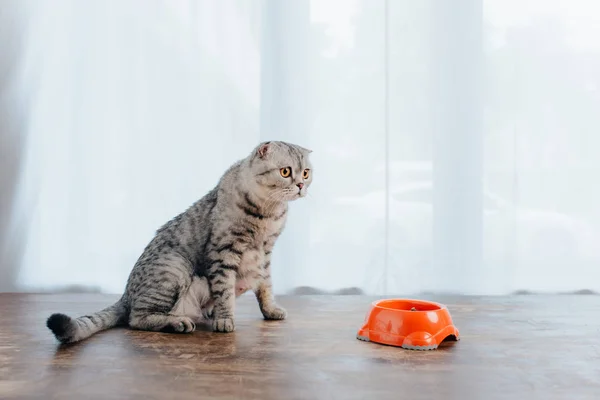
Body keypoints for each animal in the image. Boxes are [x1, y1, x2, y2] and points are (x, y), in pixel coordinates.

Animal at [45, 141, 314, 344]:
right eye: (286, 172)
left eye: (306, 173)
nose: (301, 185)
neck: (268, 214)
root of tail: (125, 295)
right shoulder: (223, 251)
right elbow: (225, 290)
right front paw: (225, 319)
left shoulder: (264, 255)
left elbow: (266, 286)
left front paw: (271, 310)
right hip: (174, 268)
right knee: (137, 318)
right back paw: (178, 323)